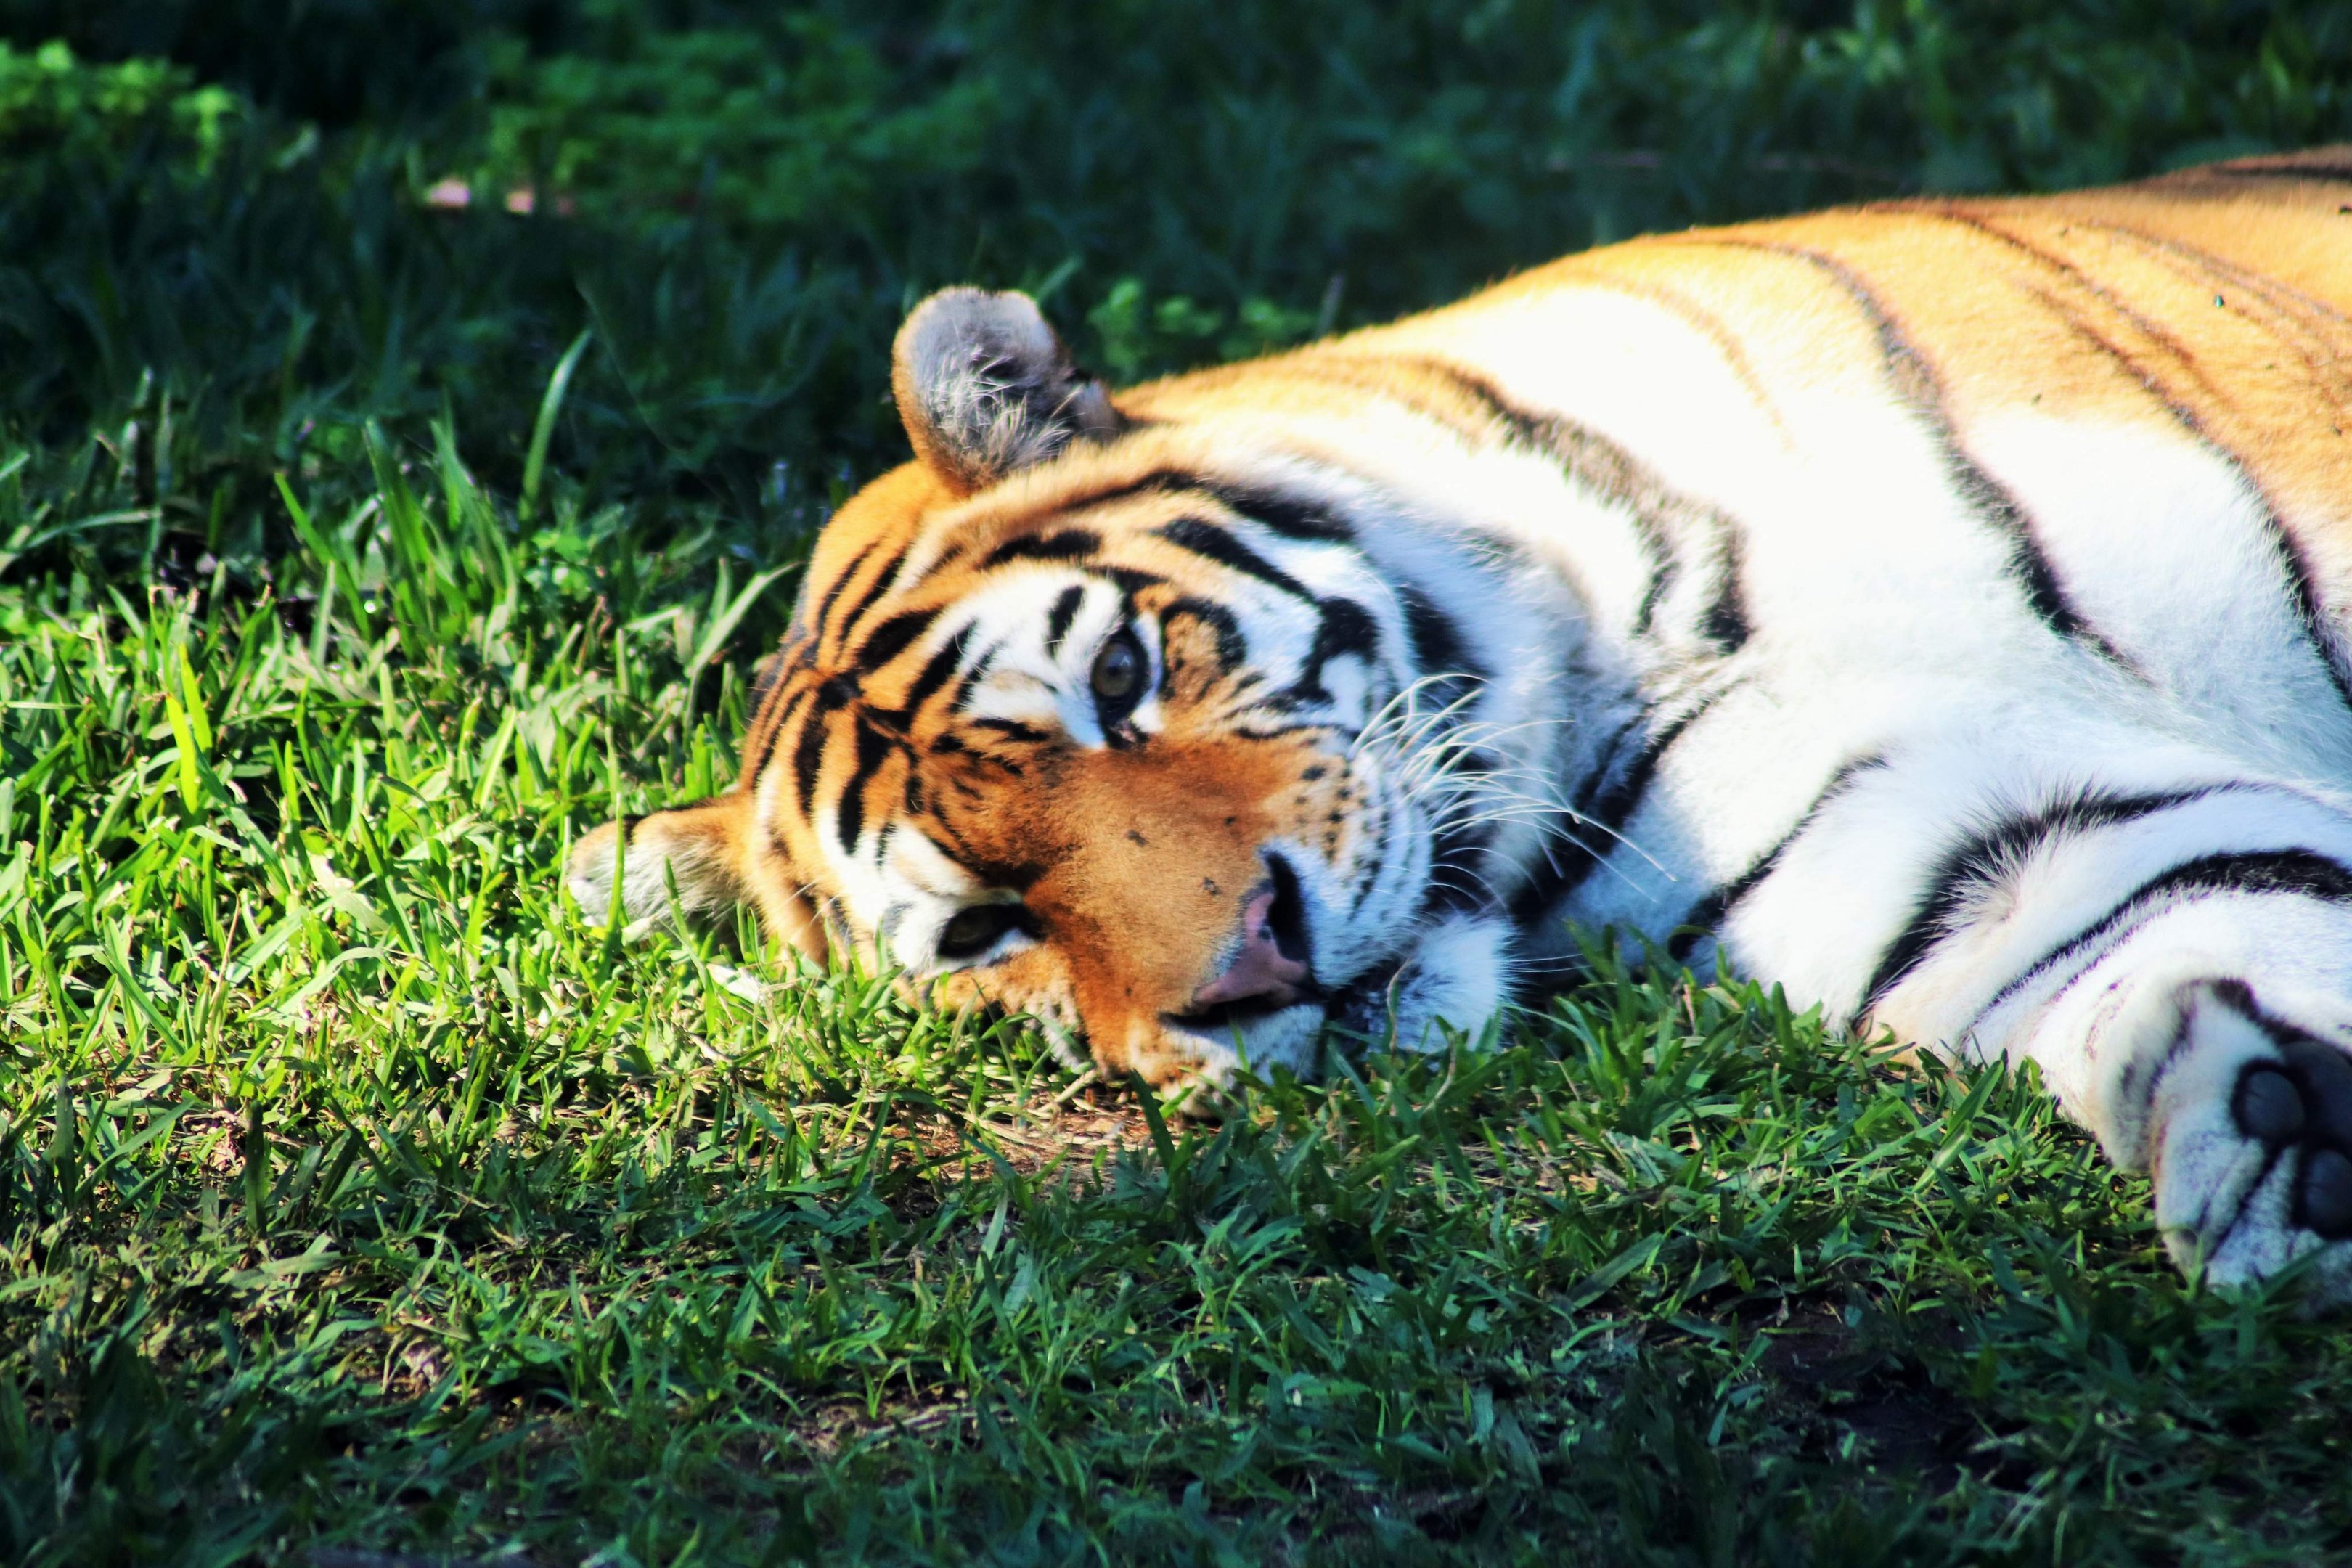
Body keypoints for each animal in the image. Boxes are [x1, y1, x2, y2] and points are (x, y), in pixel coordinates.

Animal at [573, 148, 2352, 1299]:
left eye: (1121, 681)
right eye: (988, 933)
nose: (1257, 975)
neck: (1634, 649)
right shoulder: (1960, 833)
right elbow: (2192, 899)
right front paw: (2283, 1124)